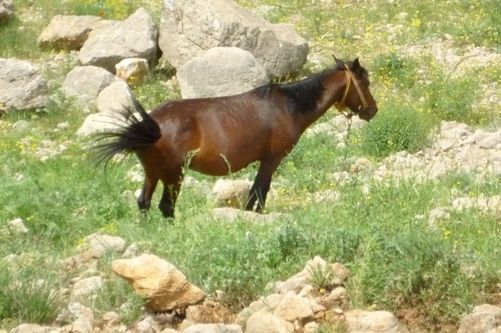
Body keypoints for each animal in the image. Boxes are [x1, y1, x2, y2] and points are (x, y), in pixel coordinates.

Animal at [93, 57, 376, 218]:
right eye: (365, 82)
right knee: (166, 206)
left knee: (144, 202)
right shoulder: (271, 160)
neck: (289, 105)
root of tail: (150, 124)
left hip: (153, 173)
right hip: (174, 174)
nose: (372, 110)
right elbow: (257, 194)